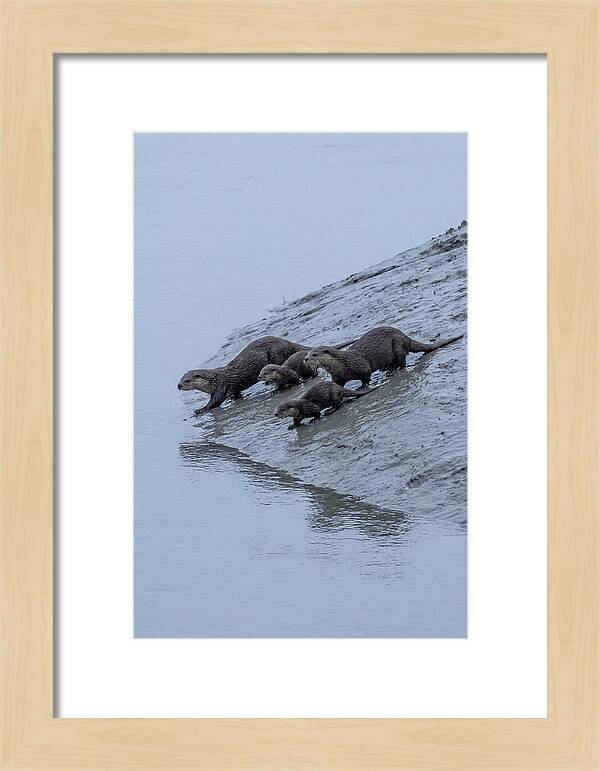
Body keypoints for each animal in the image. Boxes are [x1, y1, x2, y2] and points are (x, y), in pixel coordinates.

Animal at [304, 326, 463, 387]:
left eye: (314, 354)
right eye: (307, 353)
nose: (305, 359)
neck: (342, 364)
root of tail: (404, 336)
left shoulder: (360, 365)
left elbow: (366, 376)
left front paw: (362, 387)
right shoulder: (337, 377)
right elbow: (337, 385)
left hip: (397, 344)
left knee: (402, 362)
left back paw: (392, 370)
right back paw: (386, 368)